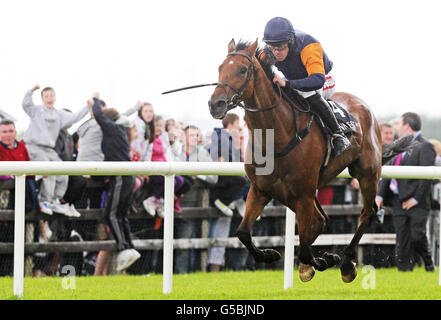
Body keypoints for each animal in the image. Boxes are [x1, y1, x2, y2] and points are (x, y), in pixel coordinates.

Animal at [208, 39, 384, 282]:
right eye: (220, 68)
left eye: (242, 70)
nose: (215, 104)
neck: (278, 136)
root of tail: (361, 104)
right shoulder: (261, 189)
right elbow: (242, 232)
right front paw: (271, 255)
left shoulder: (302, 194)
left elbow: (305, 250)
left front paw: (324, 260)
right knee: (321, 219)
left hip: (366, 172)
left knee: (367, 213)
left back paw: (347, 263)